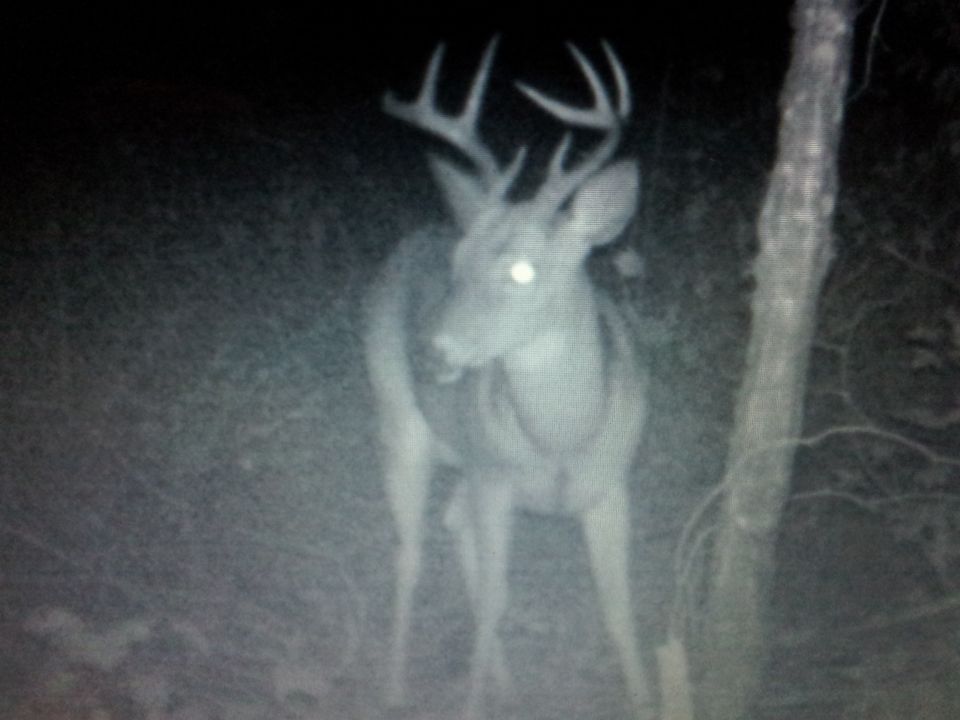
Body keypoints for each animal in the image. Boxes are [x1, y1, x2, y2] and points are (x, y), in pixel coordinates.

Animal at [364, 37, 653, 720]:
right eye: (459, 259)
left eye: (523, 270)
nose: (427, 352)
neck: (561, 438)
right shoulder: (494, 479)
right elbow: (496, 601)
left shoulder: (611, 488)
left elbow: (619, 613)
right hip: (400, 422)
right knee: (411, 555)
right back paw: (392, 688)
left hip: (463, 459)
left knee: (451, 527)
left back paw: (509, 687)